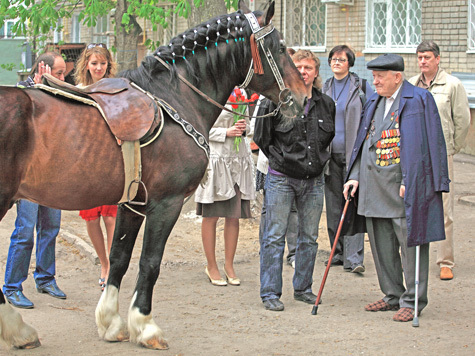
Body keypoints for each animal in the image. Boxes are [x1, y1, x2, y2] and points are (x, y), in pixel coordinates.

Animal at [0, 0, 308, 350]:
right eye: (280, 47)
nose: (303, 96)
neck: (174, 96)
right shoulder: (166, 204)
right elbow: (150, 262)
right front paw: (145, 326)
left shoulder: (132, 204)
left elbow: (119, 257)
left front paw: (111, 322)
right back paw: (18, 329)